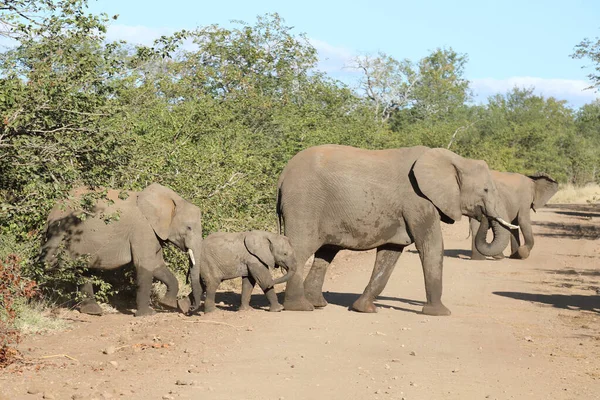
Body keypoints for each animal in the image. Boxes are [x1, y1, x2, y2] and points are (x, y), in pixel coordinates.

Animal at [41, 183, 204, 318]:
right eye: (189, 227)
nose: (188, 308)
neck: (173, 200)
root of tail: (51, 212)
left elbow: (157, 265)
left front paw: (167, 304)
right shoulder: (142, 228)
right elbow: (144, 265)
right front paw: (147, 314)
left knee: (83, 268)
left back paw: (92, 311)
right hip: (62, 231)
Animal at [276, 144, 516, 316]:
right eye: (485, 190)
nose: (482, 214)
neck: (455, 160)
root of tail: (282, 176)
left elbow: (390, 253)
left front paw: (365, 309)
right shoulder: (418, 201)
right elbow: (431, 246)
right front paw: (440, 313)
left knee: (326, 253)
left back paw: (317, 304)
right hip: (304, 204)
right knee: (301, 250)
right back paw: (300, 307)